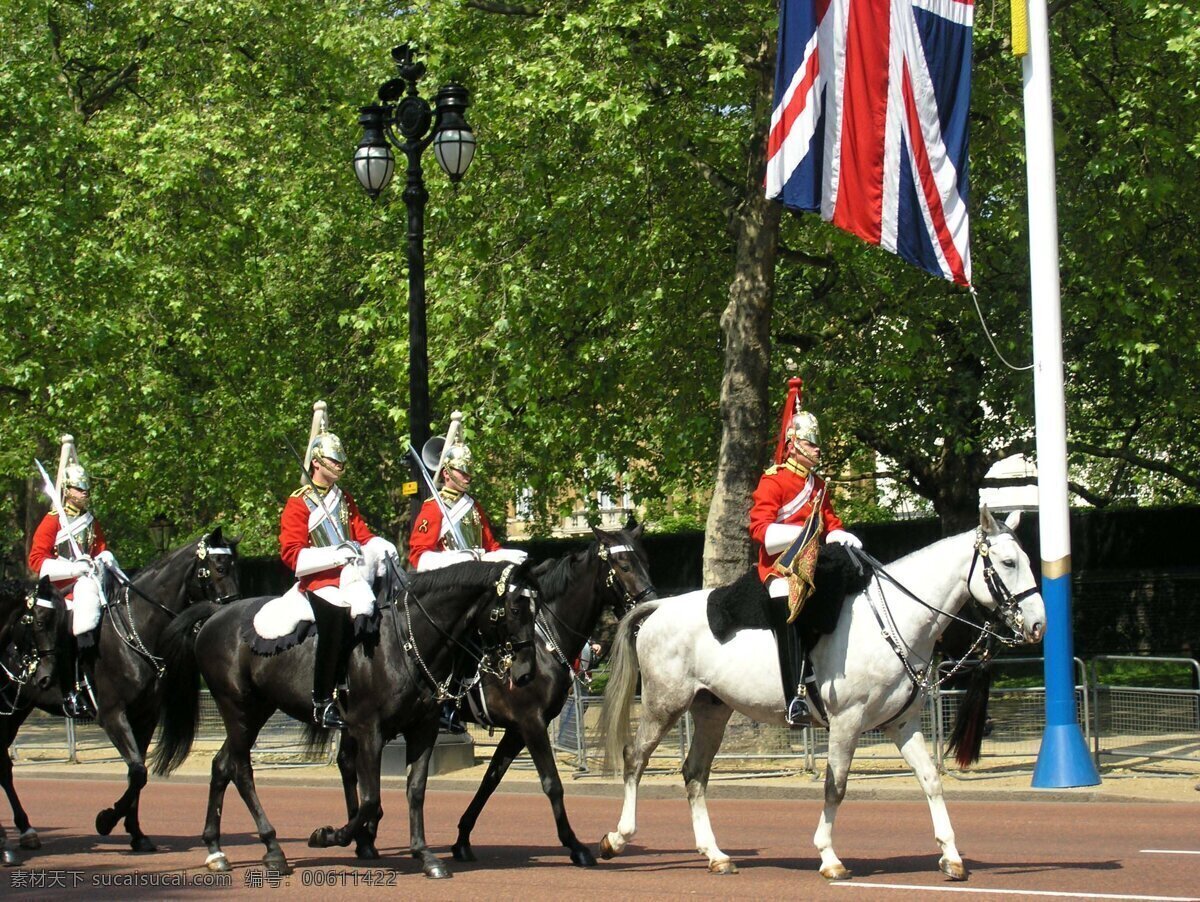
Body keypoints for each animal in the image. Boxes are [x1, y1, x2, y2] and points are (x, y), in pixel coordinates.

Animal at [0, 532, 241, 854]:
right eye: (219, 567)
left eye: (236, 567)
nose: (233, 612)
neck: (136, 631)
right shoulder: (112, 715)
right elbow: (137, 771)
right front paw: (106, 820)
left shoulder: (145, 716)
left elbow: (137, 774)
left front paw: (136, 833)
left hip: (17, 710)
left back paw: (25, 830)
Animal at [150, 561, 540, 878]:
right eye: (515, 607)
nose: (525, 673)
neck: (405, 644)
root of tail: (216, 614)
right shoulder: (369, 730)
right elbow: (370, 800)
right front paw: (329, 836)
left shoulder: (423, 730)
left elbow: (415, 791)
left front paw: (424, 854)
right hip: (239, 709)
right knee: (240, 769)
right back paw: (273, 849)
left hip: (257, 710)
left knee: (222, 765)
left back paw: (217, 849)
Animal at [597, 508, 1041, 882]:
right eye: (1008, 563)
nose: (1038, 625)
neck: (892, 619)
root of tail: (659, 608)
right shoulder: (847, 721)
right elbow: (836, 786)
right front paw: (829, 857)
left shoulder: (901, 723)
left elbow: (930, 778)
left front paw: (951, 855)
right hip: (663, 704)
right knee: (635, 759)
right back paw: (618, 837)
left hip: (712, 711)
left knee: (695, 773)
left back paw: (715, 855)